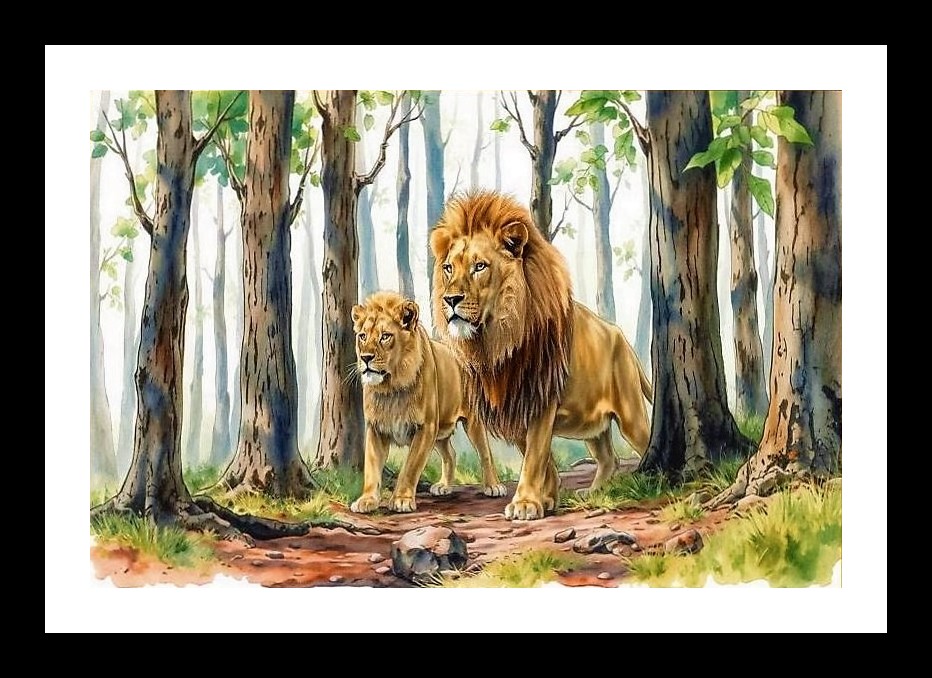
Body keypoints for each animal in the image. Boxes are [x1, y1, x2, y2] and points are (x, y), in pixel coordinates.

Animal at [349, 291, 506, 514]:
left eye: (385, 336)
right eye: (362, 336)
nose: (365, 358)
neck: (390, 388)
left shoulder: (426, 427)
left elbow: (410, 467)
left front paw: (401, 500)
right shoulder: (376, 428)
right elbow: (371, 468)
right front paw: (367, 500)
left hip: (472, 422)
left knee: (485, 453)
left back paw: (493, 486)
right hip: (441, 429)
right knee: (451, 454)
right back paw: (444, 486)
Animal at [430, 191, 653, 520]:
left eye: (480, 266)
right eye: (448, 268)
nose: (450, 299)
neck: (496, 343)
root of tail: (621, 337)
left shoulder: (540, 400)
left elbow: (534, 455)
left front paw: (525, 504)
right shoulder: (514, 405)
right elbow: (539, 457)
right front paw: (547, 497)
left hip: (630, 414)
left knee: (645, 440)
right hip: (592, 422)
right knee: (607, 457)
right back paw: (593, 492)